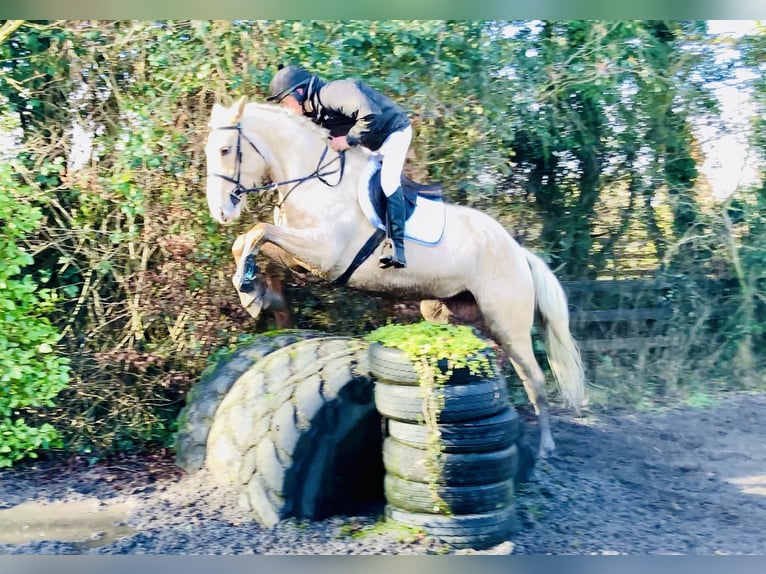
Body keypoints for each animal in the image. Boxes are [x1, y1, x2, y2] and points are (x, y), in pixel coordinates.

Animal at [204, 97, 586, 458]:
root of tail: (518, 250)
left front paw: (250, 291)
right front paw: (256, 294)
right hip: (446, 311)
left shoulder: (324, 253)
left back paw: (545, 448)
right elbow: (251, 242)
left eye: (225, 150)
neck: (315, 179)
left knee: (534, 378)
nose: (221, 212)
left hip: (508, 326)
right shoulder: (300, 254)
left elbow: (257, 231)